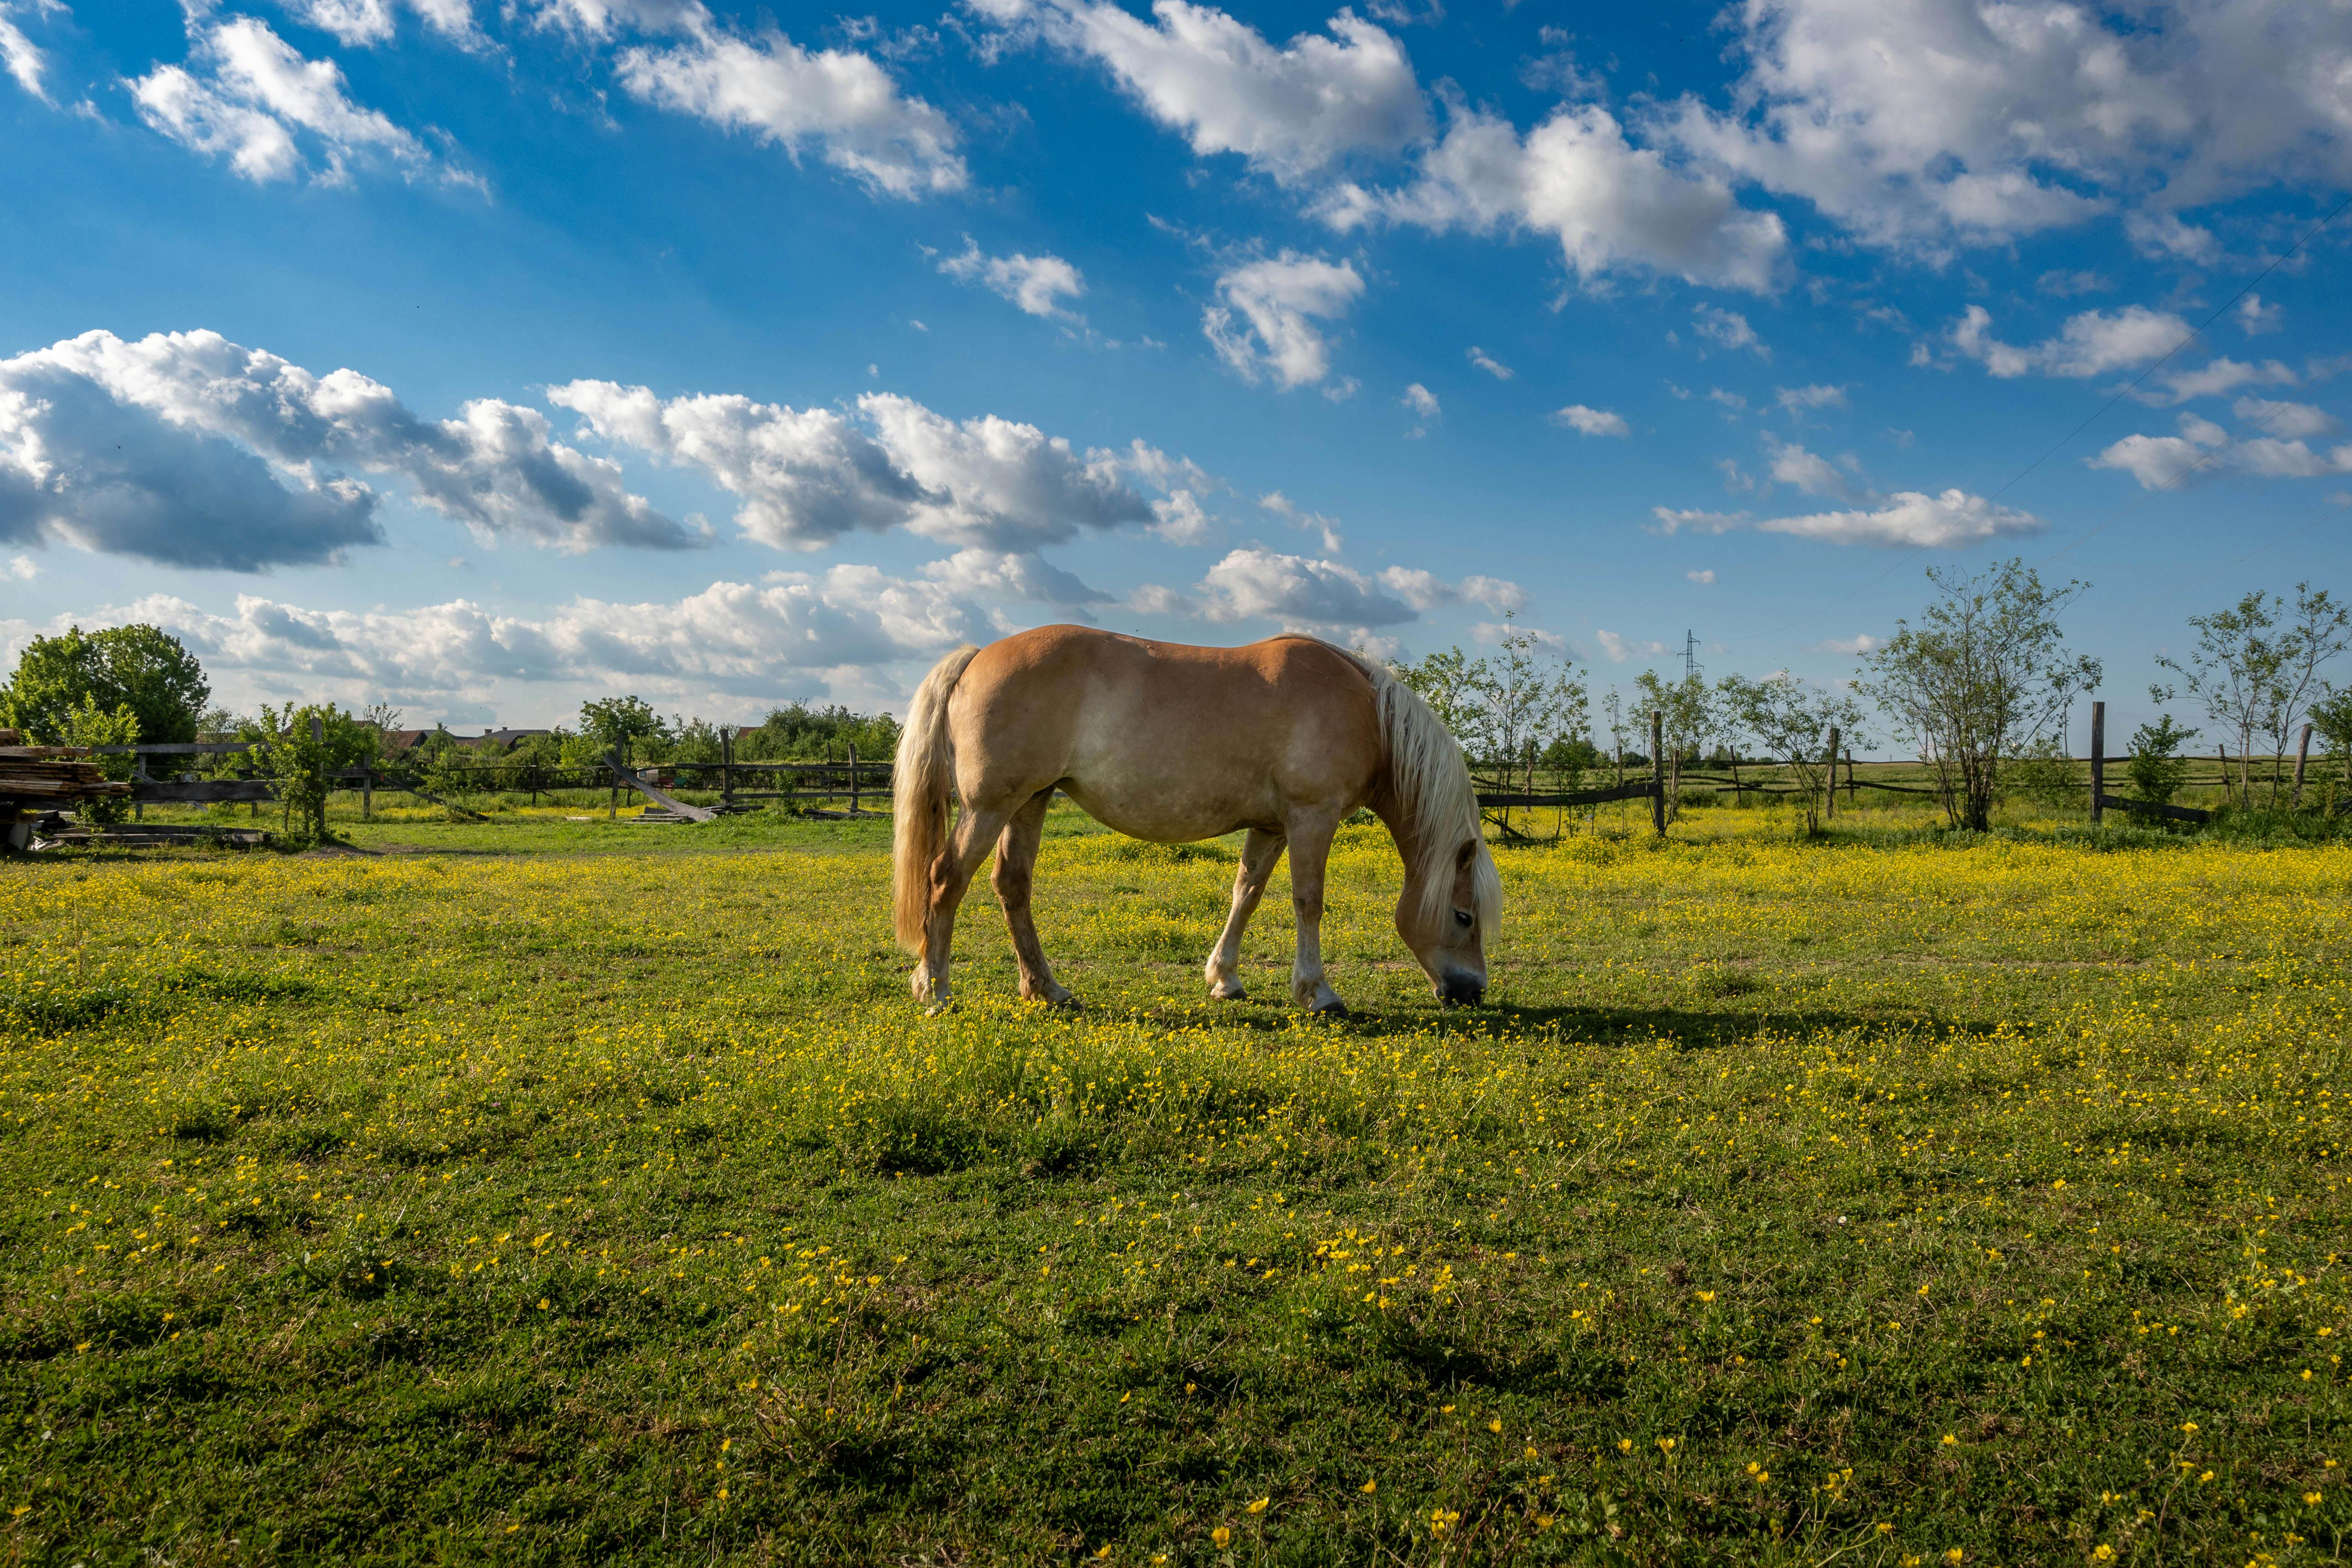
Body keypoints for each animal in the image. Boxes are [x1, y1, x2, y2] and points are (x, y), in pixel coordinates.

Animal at [890, 625, 1502, 1015]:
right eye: (1463, 917)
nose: (1472, 991)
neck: (1366, 711)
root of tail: (976, 656)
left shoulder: (1271, 826)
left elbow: (1246, 894)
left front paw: (1224, 978)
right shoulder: (1312, 817)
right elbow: (1308, 901)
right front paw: (1318, 993)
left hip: (1031, 802)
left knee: (1012, 886)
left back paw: (1047, 989)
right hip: (990, 807)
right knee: (945, 879)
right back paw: (935, 990)